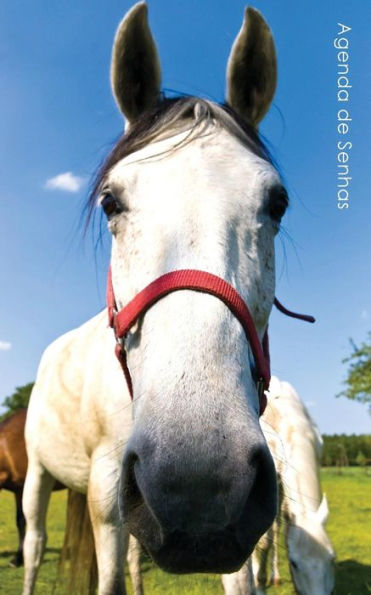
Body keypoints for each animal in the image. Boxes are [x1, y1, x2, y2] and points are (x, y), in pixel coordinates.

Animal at [22, 4, 284, 595]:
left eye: (277, 203)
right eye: (110, 202)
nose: (198, 487)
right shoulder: (105, 494)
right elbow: (108, 576)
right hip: (38, 476)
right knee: (34, 545)